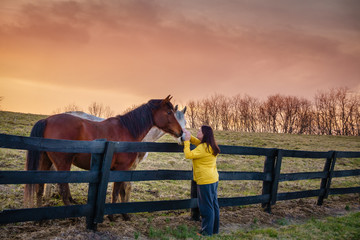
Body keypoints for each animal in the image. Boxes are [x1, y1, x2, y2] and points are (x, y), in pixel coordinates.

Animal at [23, 96, 183, 216]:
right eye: (169, 112)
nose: (181, 133)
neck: (127, 129)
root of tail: (47, 120)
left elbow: (121, 190)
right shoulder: (123, 168)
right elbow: (118, 190)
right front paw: (116, 215)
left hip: (45, 161)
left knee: (39, 187)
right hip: (63, 164)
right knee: (62, 189)